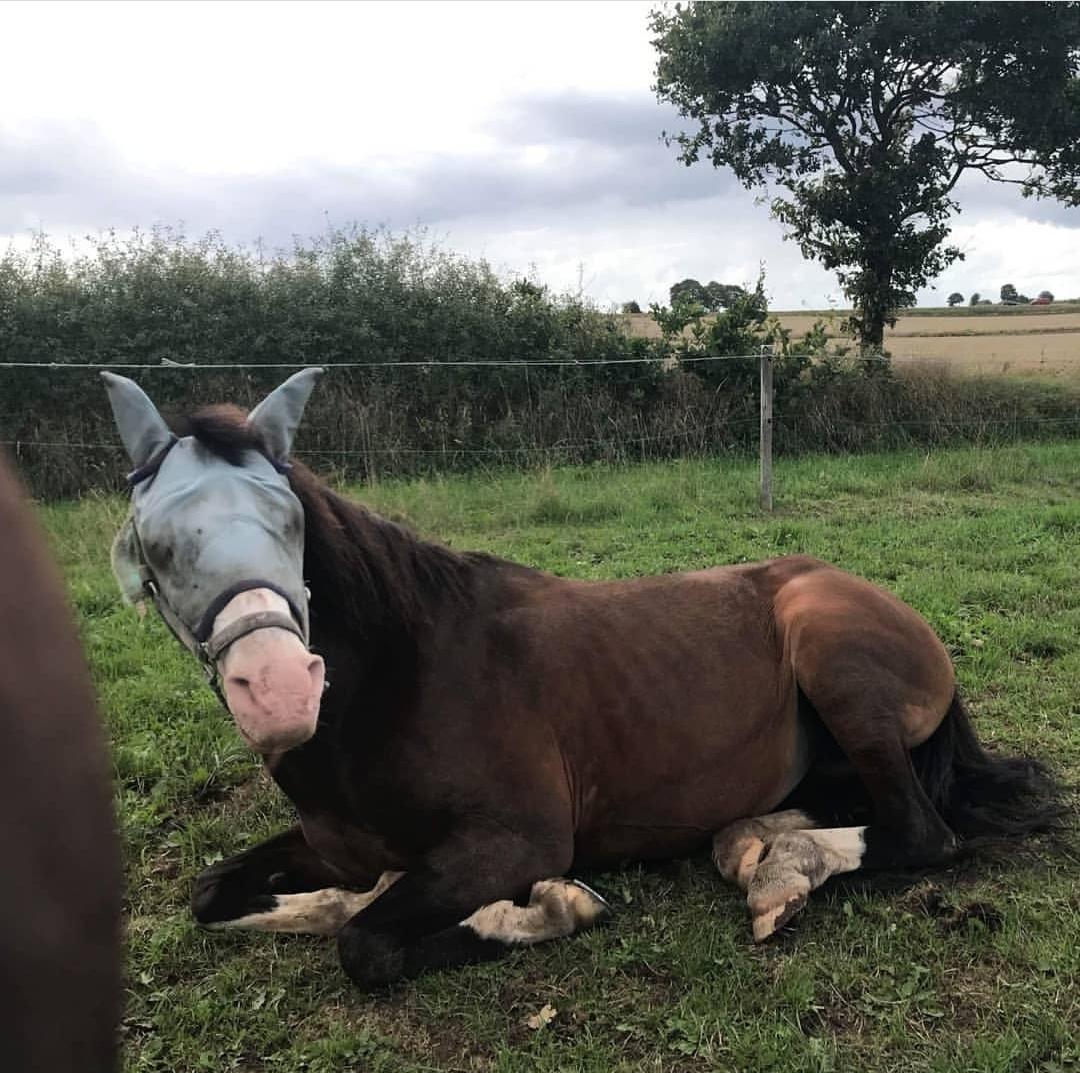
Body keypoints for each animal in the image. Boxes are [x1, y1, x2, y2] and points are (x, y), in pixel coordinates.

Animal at [101, 367, 1062, 988]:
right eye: (152, 544)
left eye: (290, 518)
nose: (279, 689)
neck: (403, 677)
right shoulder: (336, 842)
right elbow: (216, 894)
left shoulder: (517, 840)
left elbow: (369, 946)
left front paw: (544, 910)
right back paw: (757, 844)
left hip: (836, 664)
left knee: (918, 833)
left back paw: (781, 870)